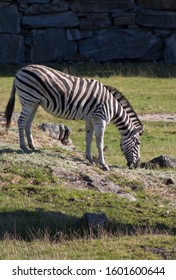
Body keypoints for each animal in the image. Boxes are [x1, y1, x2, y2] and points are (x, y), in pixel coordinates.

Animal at [4, 64, 144, 170]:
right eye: (138, 142)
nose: (137, 165)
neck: (113, 107)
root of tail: (20, 70)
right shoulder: (100, 119)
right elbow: (100, 142)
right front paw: (103, 164)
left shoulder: (90, 120)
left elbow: (88, 139)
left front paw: (90, 159)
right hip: (29, 99)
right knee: (21, 121)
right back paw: (23, 146)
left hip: (34, 103)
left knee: (28, 123)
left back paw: (32, 146)